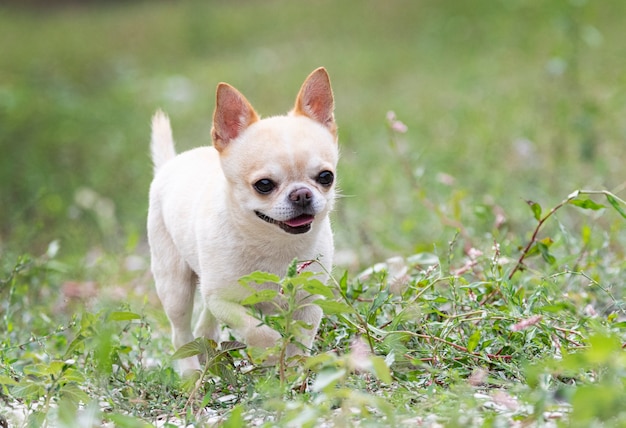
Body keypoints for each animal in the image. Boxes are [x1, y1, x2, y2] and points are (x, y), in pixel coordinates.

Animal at [146, 67, 336, 372]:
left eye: (326, 177)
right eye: (264, 185)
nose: (302, 194)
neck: (273, 244)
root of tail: (169, 164)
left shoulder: (309, 300)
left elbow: (301, 338)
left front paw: (293, 369)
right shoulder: (223, 300)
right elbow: (255, 329)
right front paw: (271, 353)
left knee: (204, 321)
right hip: (174, 285)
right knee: (180, 332)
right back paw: (190, 372)